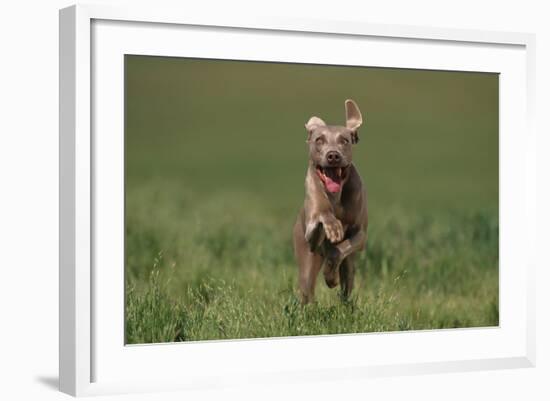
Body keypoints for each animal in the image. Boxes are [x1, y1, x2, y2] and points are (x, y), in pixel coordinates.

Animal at [294, 98, 370, 302]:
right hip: (306, 259)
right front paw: (330, 224)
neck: (335, 196)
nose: (333, 155)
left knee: (346, 286)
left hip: (350, 266)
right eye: (319, 140)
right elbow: (320, 219)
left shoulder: (360, 235)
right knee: (307, 290)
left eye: (344, 140)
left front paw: (330, 276)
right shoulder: (310, 234)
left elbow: (339, 250)